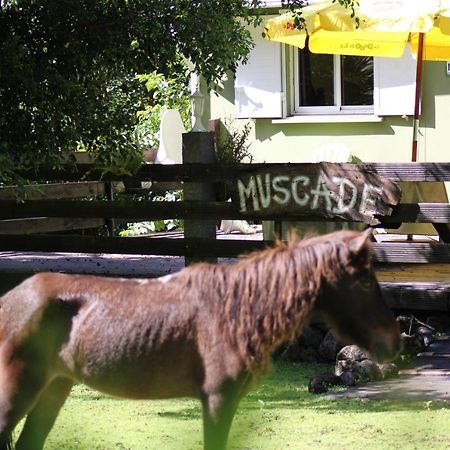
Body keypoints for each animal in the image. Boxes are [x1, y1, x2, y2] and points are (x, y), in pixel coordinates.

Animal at [0, 230, 400, 448]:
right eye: (367, 281)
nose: (395, 342)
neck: (237, 310)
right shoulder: (217, 399)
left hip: (55, 387)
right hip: (17, 391)